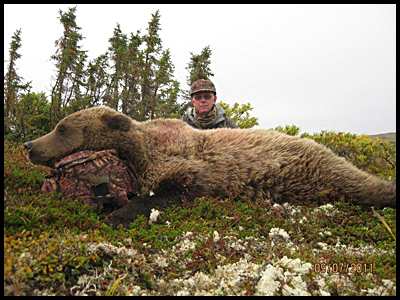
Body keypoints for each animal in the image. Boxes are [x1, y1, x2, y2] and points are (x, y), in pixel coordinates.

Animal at [25, 106, 396, 226]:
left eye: (62, 128)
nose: (28, 146)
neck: (139, 146)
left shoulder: (186, 166)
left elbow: (173, 190)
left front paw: (115, 215)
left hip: (320, 170)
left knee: (364, 185)